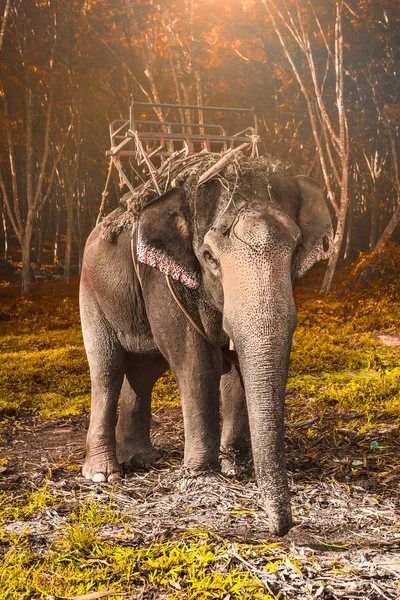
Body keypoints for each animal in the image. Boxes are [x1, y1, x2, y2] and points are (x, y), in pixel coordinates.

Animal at [79, 154, 332, 536]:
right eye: (209, 256)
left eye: (296, 249)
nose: (282, 529)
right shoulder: (161, 278)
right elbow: (197, 364)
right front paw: (201, 477)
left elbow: (235, 368)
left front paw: (236, 468)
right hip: (91, 292)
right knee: (107, 370)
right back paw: (103, 475)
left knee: (143, 374)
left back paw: (141, 458)